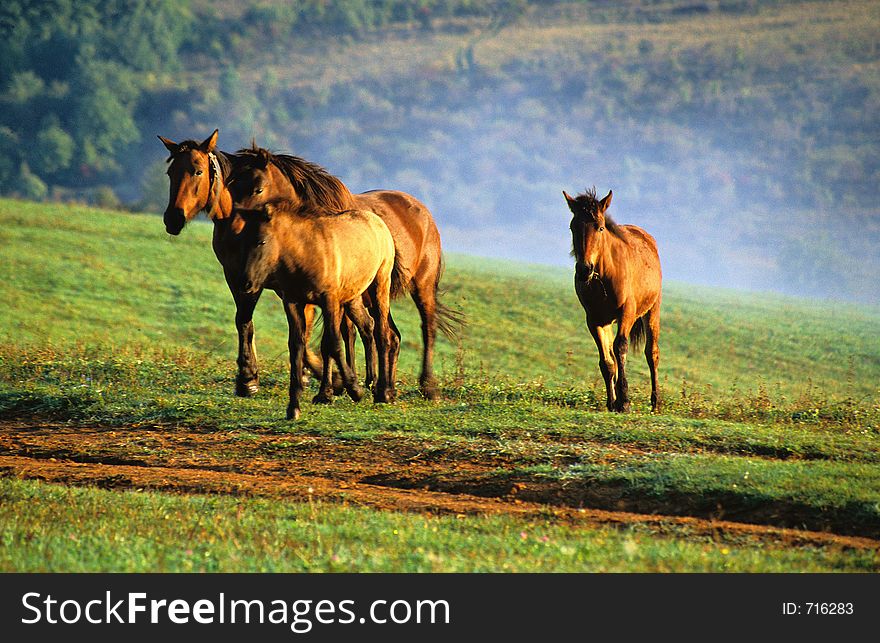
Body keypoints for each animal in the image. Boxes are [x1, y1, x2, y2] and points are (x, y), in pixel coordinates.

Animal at [227, 147, 464, 398]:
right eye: (232, 187)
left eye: (258, 189)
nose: (236, 227)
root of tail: (423, 211)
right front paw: (340, 384)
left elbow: (332, 339)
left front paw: (336, 387)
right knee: (391, 335)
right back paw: (384, 386)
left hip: (421, 286)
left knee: (426, 328)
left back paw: (427, 386)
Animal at [230, 201, 402, 422]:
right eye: (242, 243)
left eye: (261, 241)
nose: (246, 283)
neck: (305, 253)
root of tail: (377, 221)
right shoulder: (293, 302)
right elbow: (297, 347)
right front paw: (294, 406)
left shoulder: (329, 300)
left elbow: (333, 344)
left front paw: (354, 389)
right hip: (353, 296)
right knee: (367, 326)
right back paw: (371, 383)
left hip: (380, 284)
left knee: (383, 334)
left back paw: (383, 392)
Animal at [564, 189, 660, 416]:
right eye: (573, 227)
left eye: (600, 227)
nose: (584, 270)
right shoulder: (594, 320)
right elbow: (607, 362)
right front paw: (612, 402)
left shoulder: (627, 313)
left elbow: (621, 348)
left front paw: (625, 401)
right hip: (608, 321)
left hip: (652, 310)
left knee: (652, 353)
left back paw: (655, 402)